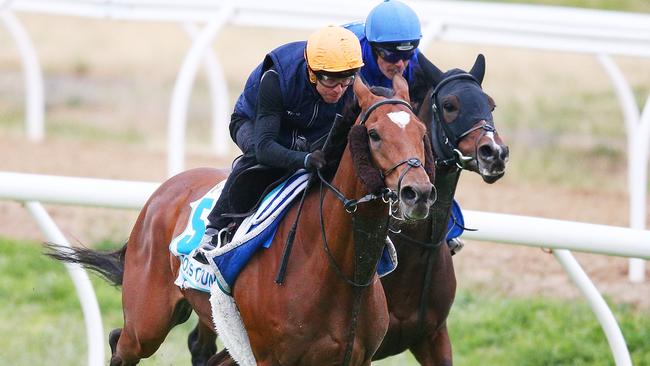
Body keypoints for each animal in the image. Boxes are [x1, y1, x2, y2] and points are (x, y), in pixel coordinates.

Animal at [48, 74, 438, 366]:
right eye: (374, 134)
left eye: (422, 133)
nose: (417, 193)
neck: (337, 267)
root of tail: (162, 192)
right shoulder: (270, 358)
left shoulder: (355, 358)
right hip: (148, 321)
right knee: (121, 341)